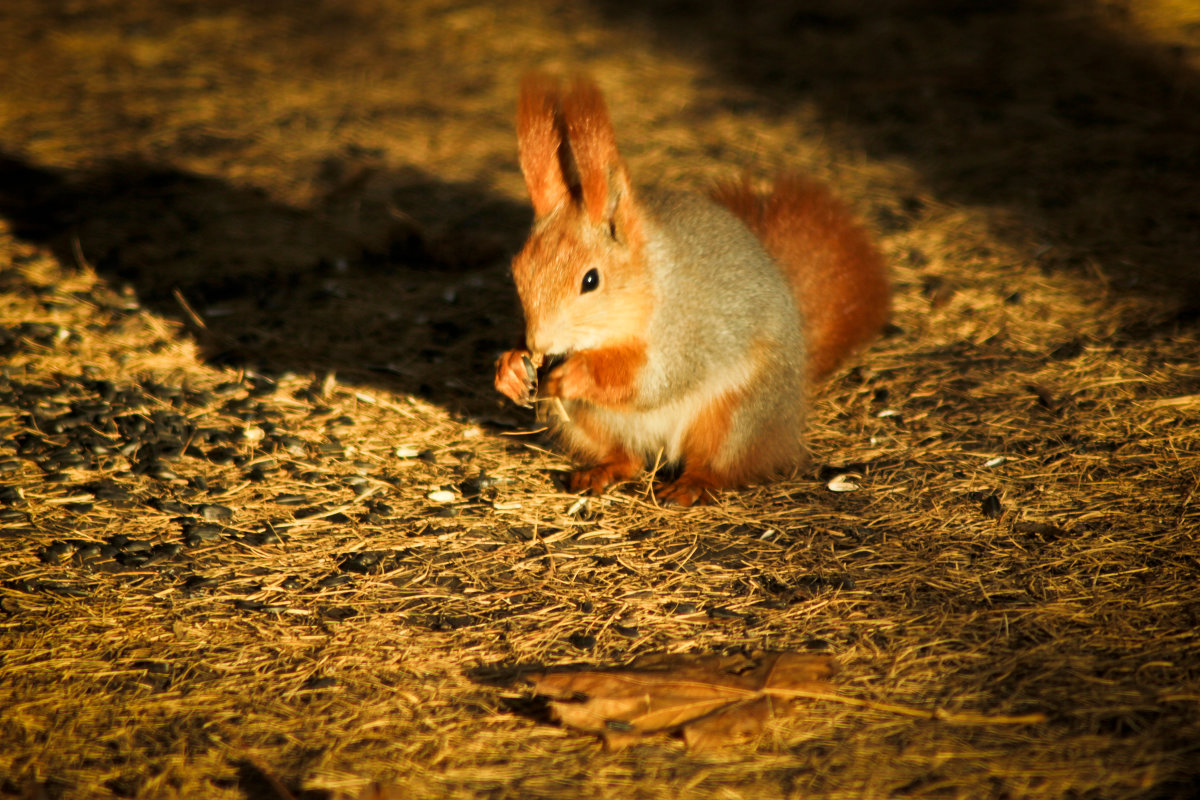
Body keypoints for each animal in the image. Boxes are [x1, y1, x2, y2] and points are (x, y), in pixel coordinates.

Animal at [494, 77, 892, 510]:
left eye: (590, 280)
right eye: (519, 270)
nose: (540, 343)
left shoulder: (687, 332)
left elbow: (651, 379)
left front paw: (576, 373)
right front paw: (511, 367)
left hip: (736, 416)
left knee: (719, 464)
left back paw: (692, 485)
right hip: (591, 422)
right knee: (628, 458)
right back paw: (600, 471)